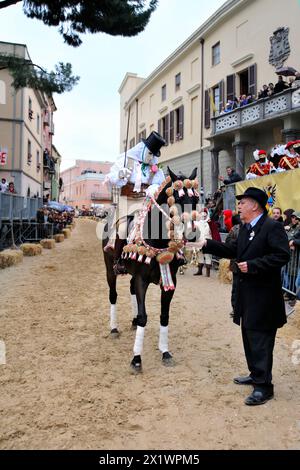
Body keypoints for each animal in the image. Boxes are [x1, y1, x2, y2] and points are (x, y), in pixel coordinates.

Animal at [102, 167, 200, 372]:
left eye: (195, 198)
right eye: (177, 199)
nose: (192, 233)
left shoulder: (170, 282)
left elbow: (164, 316)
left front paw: (165, 352)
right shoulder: (142, 280)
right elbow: (143, 317)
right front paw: (136, 358)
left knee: (130, 289)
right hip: (110, 269)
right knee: (113, 295)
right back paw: (114, 328)